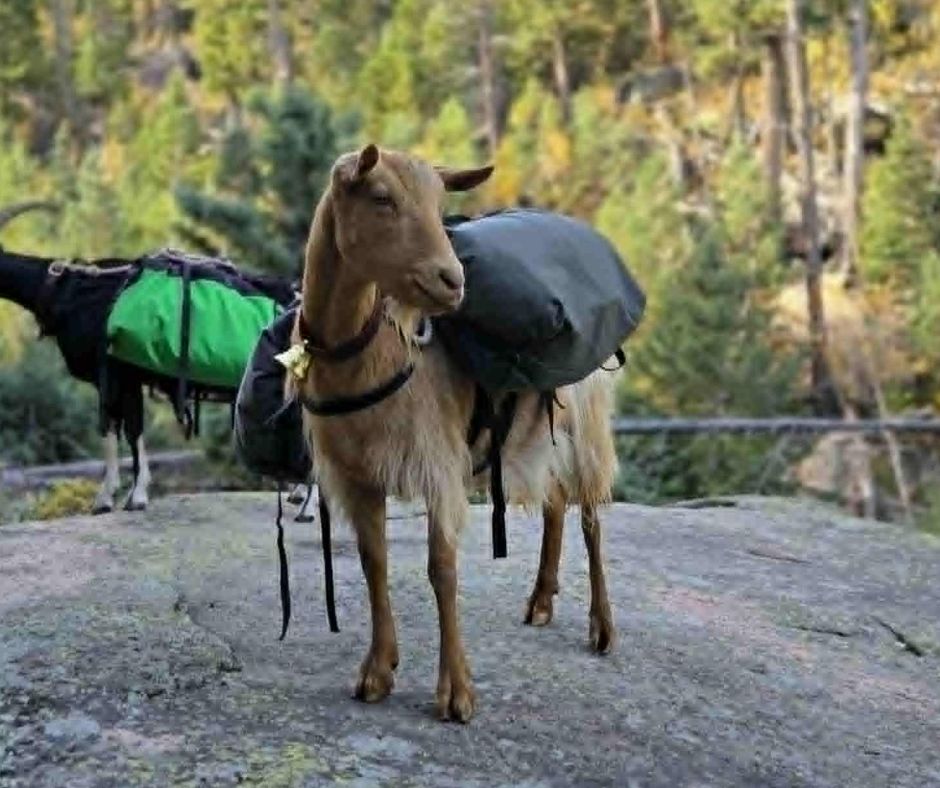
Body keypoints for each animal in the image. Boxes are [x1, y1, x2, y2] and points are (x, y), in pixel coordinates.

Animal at [289, 145, 618, 722]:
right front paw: (377, 671)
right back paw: (541, 600)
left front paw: (457, 693)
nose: (452, 280)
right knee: (556, 501)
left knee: (591, 515)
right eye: (381, 198)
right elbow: (374, 562)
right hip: (541, 426)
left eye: (440, 204)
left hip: (587, 416)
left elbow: (441, 569)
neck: (368, 354)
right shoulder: (356, 474)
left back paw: (601, 627)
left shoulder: (437, 461)